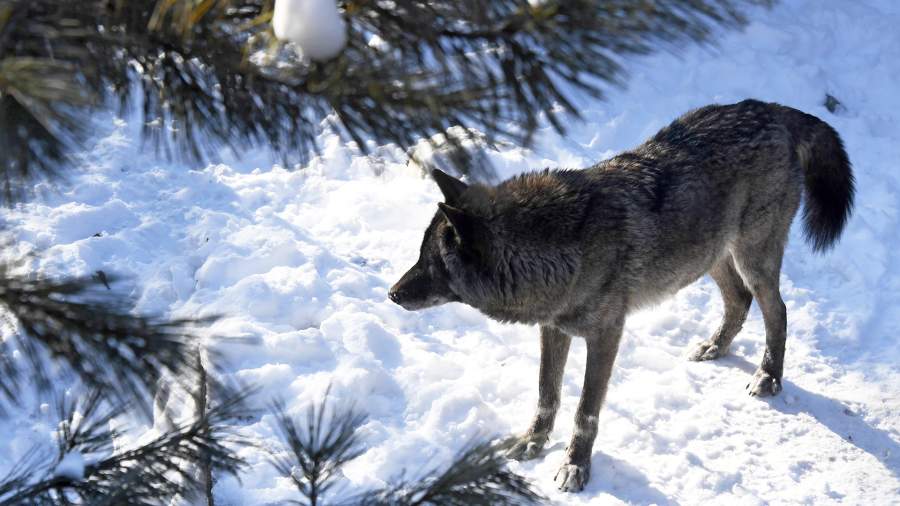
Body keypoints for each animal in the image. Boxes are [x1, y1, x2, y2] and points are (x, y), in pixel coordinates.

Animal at [386, 98, 852, 490]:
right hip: (709, 257)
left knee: (778, 310)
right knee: (739, 300)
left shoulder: (606, 335)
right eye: (421, 255)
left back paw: (768, 376)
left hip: (750, 258)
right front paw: (532, 442)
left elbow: (585, 411)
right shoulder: (553, 329)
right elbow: (546, 393)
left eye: (432, 263)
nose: (391, 294)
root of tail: (774, 109)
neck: (560, 251)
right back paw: (714, 348)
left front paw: (575, 466)